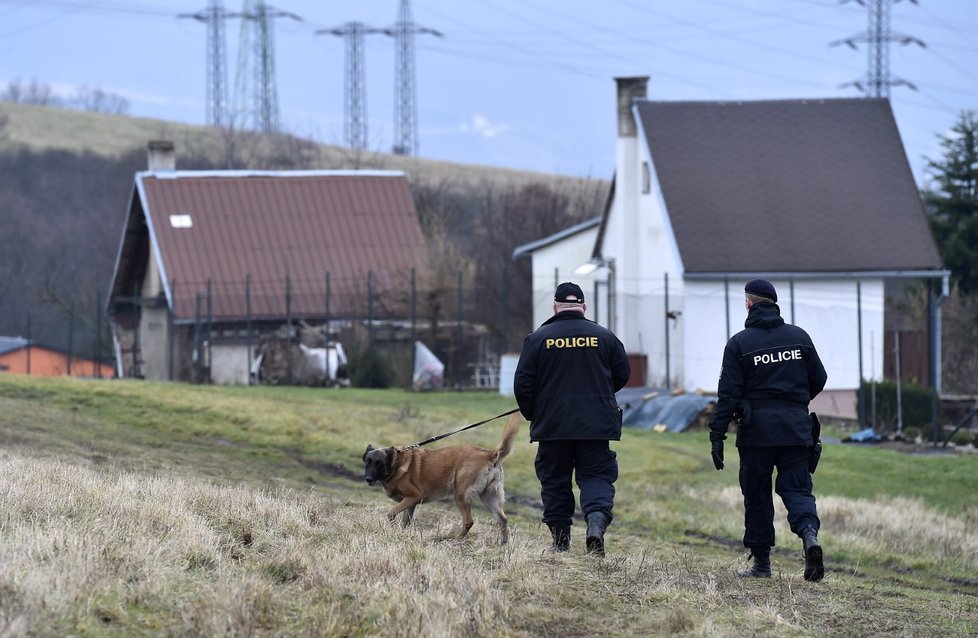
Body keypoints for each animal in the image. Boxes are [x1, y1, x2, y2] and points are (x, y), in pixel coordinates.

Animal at [362, 416, 524, 544]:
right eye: (368, 462)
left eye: (379, 464)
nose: (368, 479)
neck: (396, 463)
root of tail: (491, 454)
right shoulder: (411, 503)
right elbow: (405, 522)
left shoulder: (414, 496)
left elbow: (391, 513)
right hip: (489, 498)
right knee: (503, 520)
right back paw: (503, 544)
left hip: (461, 494)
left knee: (469, 521)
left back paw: (456, 540)